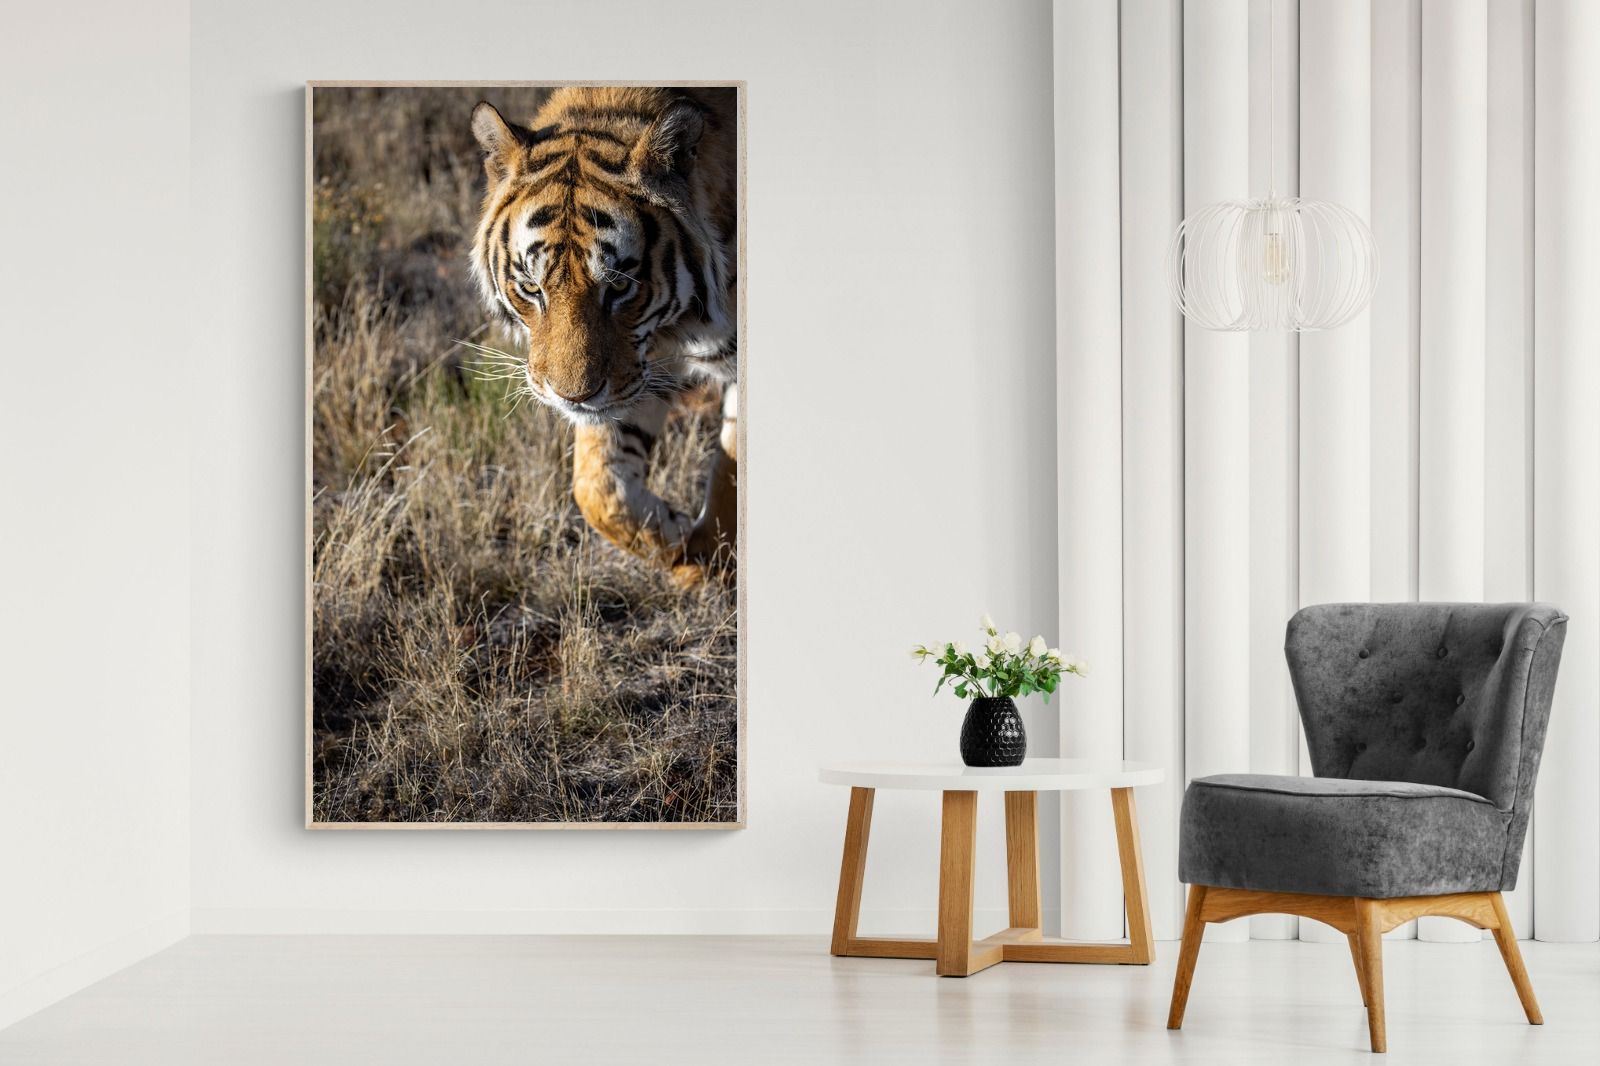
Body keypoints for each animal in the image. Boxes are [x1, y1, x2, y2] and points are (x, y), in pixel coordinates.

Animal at [469, 86, 738, 585]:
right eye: (531, 288)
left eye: (619, 285)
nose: (572, 397)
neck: (678, 328)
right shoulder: (639, 370)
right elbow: (596, 488)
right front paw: (678, 541)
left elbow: (732, 473)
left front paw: (712, 557)